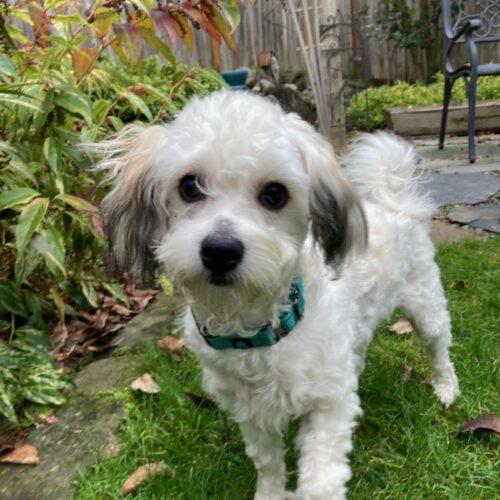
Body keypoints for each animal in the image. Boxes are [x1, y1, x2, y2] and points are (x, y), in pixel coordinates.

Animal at [92, 91, 458, 500]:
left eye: (274, 194)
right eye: (189, 186)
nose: (220, 250)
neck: (259, 332)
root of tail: (391, 200)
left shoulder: (328, 407)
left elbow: (321, 480)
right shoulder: (253, 412)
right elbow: (267, 462)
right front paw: (271, 492)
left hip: (425, 304)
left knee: (439, 347)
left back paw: (446, 387)